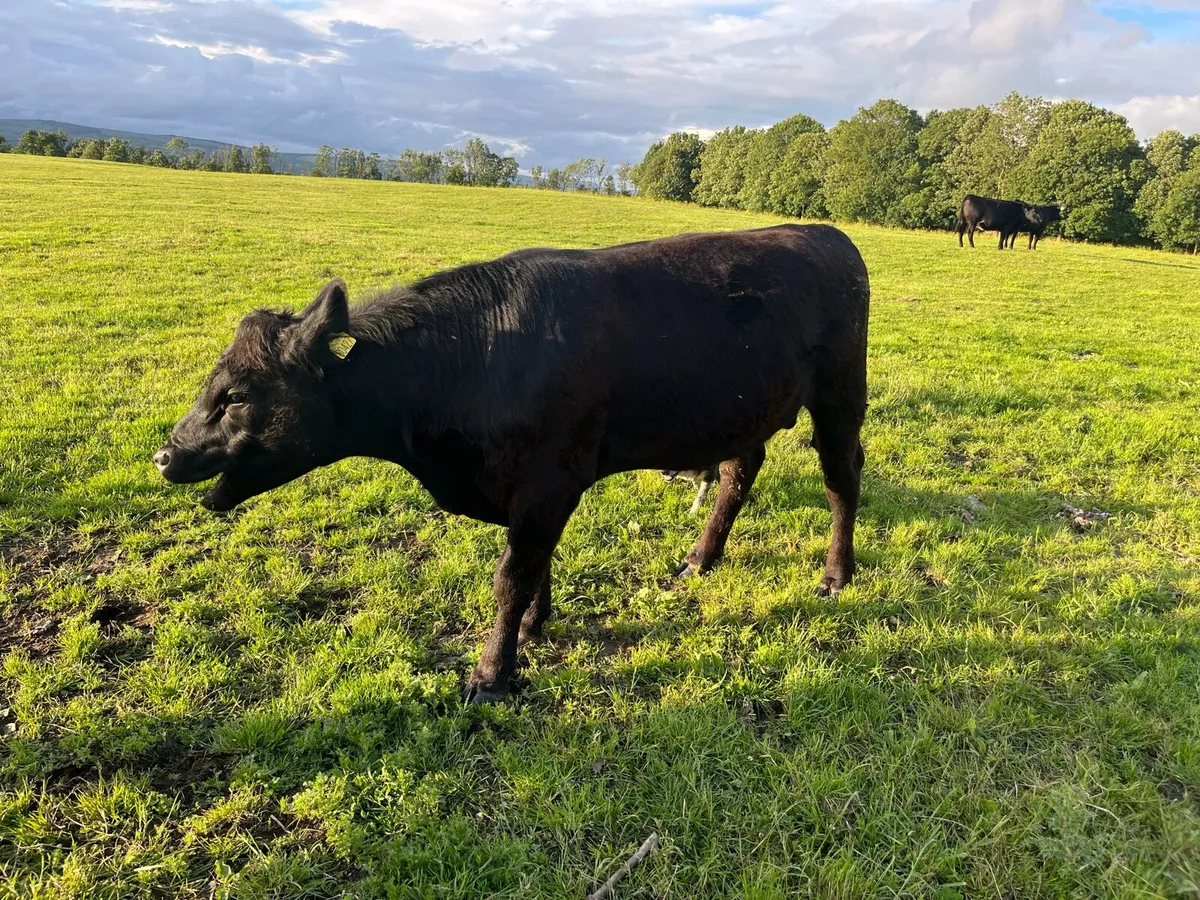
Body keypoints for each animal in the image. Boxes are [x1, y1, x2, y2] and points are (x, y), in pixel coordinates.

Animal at [154, 224, 870, 703]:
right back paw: (701, 557)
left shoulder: (548, 482)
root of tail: (821, 231)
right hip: (745, 408)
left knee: (841, 477)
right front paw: (532, 626)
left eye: (237, 395)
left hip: (840, 393)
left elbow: (512, 575)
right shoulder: (534, 492)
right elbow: (536, 566)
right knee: (739, 470)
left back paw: (836, 574)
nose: (166, 455)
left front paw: (492, 673)